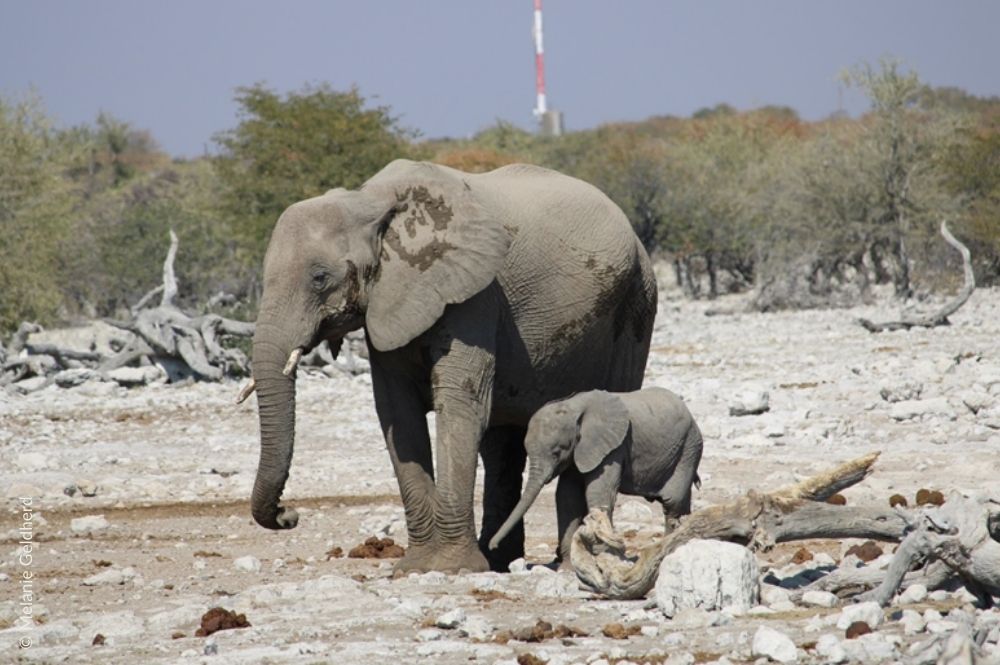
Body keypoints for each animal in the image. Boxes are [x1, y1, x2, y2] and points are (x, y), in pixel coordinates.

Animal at [248, 160, 656, 572]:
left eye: (319, 278)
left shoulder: (474, 292)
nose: (288, 515)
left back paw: (573, 561)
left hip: (635, 305)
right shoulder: (389, 303)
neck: (370, 201)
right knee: (501, 446)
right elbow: (397, 415)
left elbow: (460, 406)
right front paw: (417, 567)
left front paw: (452, 567)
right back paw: (500, 559)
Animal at [488, 384, 700, 564]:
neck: (572, 407)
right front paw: (569, 564)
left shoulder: (613, 448)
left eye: (556, 452)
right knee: (681, 502)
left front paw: (601, 555)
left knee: (672, 501)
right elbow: (567, 496)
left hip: (688, 448)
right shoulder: (579, 453)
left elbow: (597, 492)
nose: (492, 546)